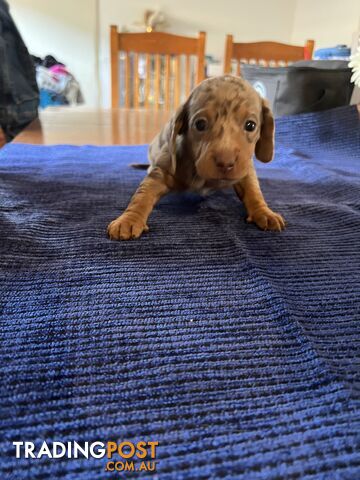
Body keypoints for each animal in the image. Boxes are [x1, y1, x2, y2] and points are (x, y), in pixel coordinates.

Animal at [107, 76, 284, 240]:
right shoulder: (161, 172)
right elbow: (142, 195)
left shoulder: (245, 170)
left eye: (251, 125)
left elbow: (253, 191)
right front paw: (128, 220)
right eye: (200, 124)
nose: (225, 163)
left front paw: (265, 212)